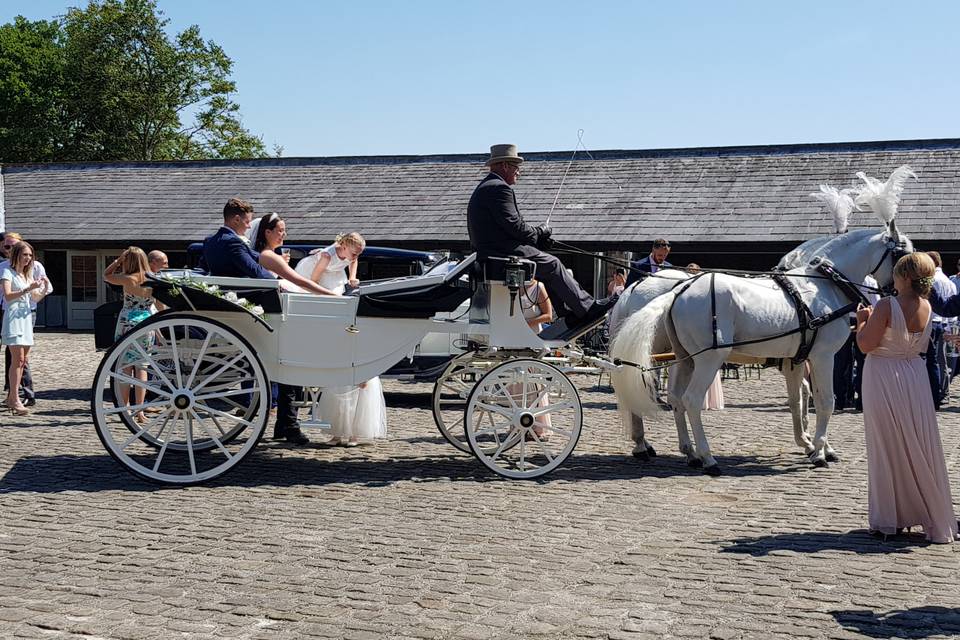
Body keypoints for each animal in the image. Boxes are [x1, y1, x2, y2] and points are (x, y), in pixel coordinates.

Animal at [612, 222, 912, 472]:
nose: (898, 291)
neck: (823, 287)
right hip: (708, 360)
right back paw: (706, 458)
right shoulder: (823, 356)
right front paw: (819, 453)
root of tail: (679, 290)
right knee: (691, 400)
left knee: (675, 399)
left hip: (686, 358)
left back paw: (689, 452)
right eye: (902, 255)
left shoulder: (797, 360)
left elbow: (798, 400)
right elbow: (826, 401)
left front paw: (810, 444)